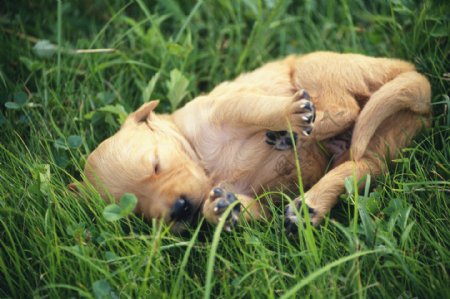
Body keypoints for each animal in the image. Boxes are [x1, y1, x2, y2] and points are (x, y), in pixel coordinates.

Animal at [81, 52, 432, 234]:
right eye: (138, 210)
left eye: (156, 164)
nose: (179, 209)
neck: (206, 165)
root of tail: (410, 72)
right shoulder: (264, 195)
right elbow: (250, 208)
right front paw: (226, 207)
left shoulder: (227, 107)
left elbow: (260, 109)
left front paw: (291, 115)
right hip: (382, 141)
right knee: (358, 166)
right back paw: (308, 206)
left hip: (317, 66)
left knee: (346, 108)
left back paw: (295, 132)